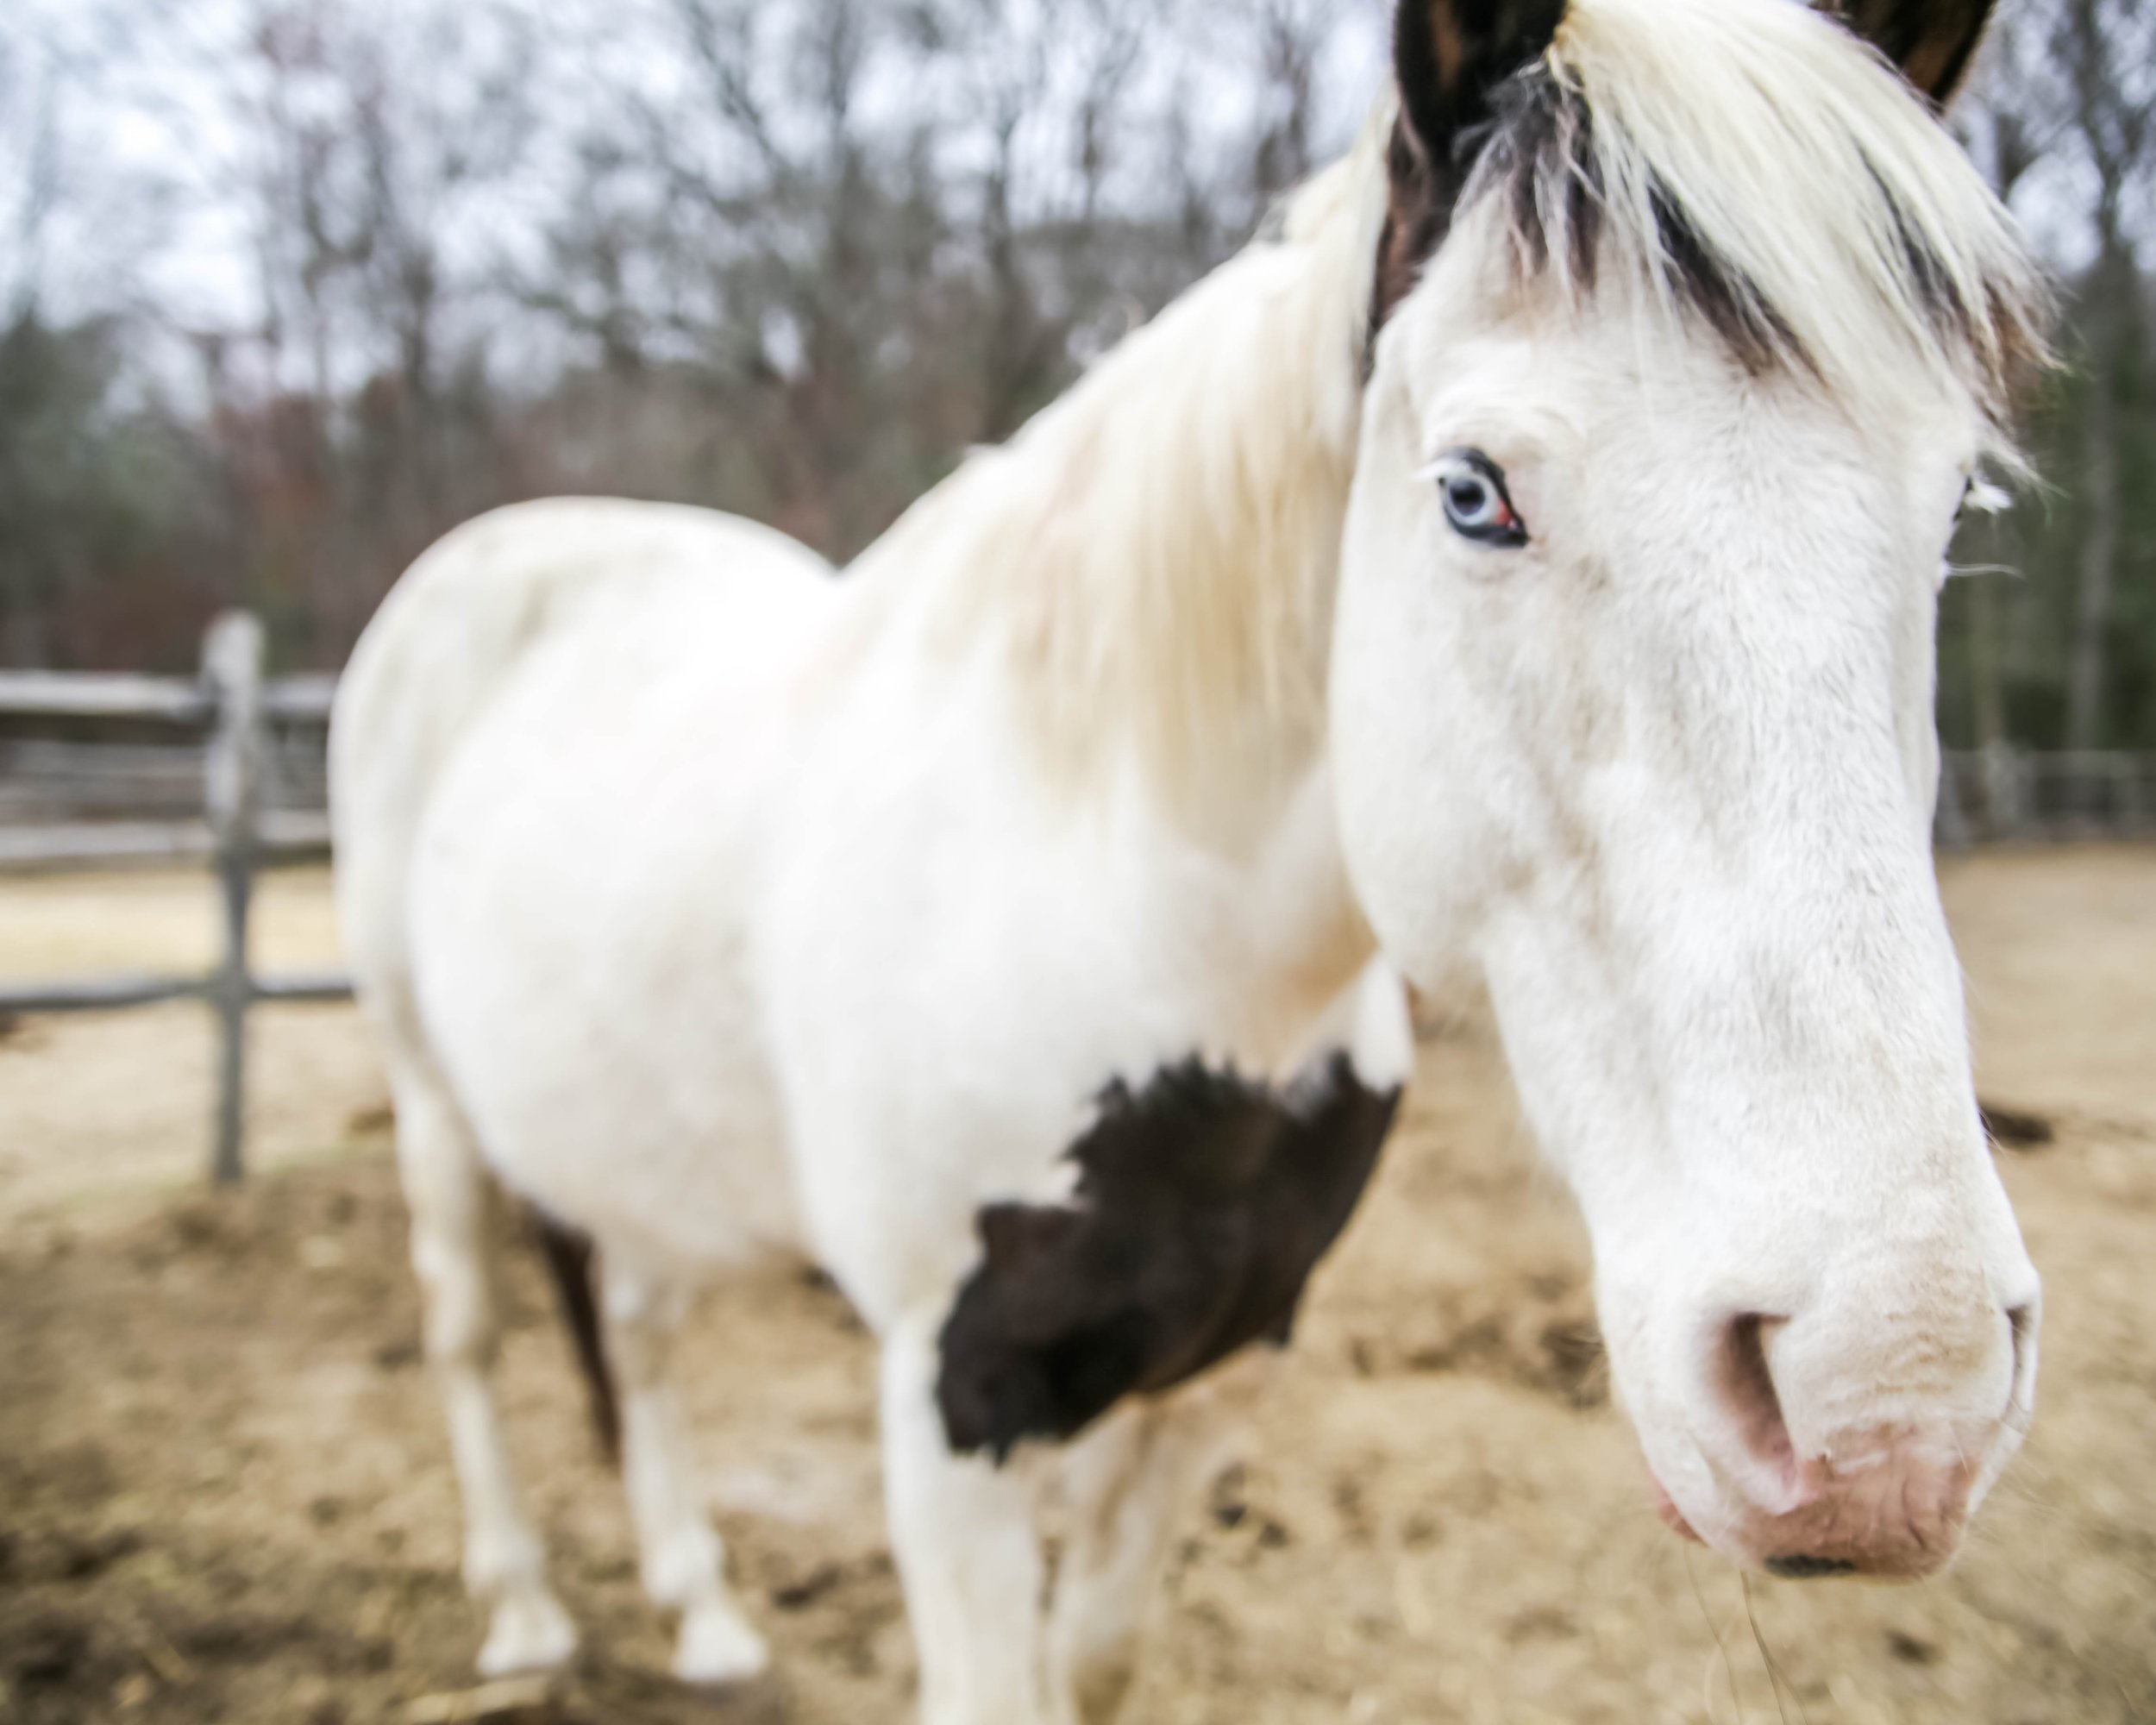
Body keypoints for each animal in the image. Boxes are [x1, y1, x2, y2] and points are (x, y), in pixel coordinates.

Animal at [328, 0, 2050, 1714]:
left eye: (1956, 504)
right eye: (1472, 493)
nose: (1891, 1398)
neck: (1122, 915)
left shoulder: (1213, 1371)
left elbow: (1095, 1654)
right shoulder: (953, 1421)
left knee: (635, 1330)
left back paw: (701, 1616)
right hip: (432, 1106)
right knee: (469, 1340)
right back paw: (525, 1618)